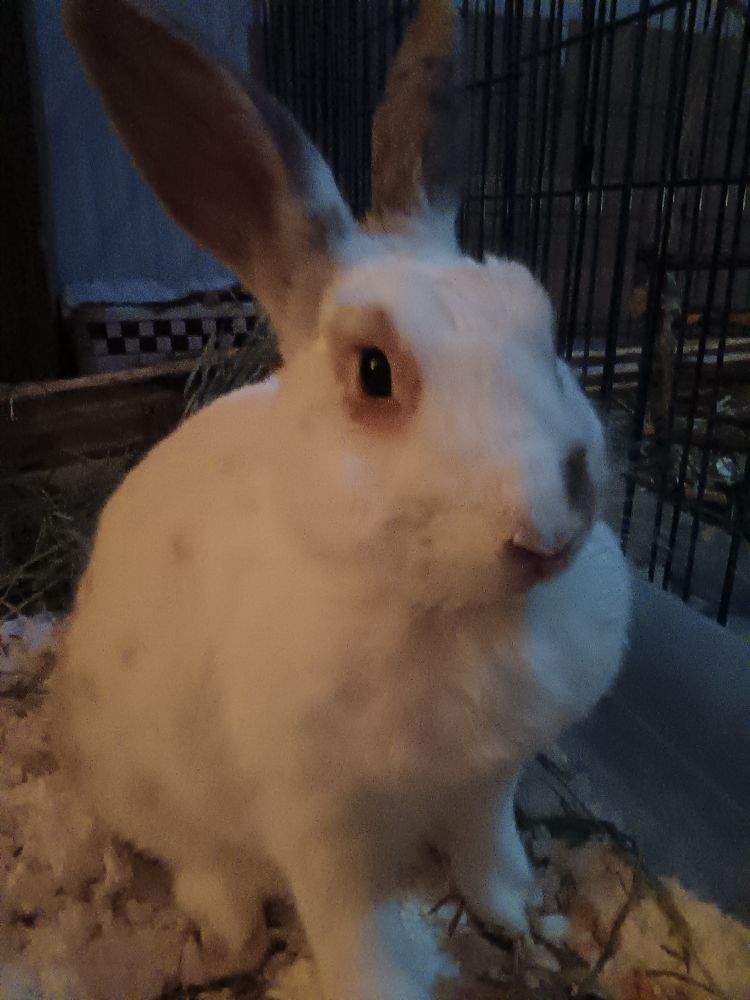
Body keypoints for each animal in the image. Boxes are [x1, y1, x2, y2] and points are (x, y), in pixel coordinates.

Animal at [50, 1, 632, 998]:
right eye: (373, 372)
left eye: (548, 327)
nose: (552, 527)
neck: (456, 615)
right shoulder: (321, 824)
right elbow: (347, 918)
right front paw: (385, 984)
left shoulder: (490, 782)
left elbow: (491, 854)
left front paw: (521, 917)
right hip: (156, 790)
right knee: (200, 859)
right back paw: (227, 924)